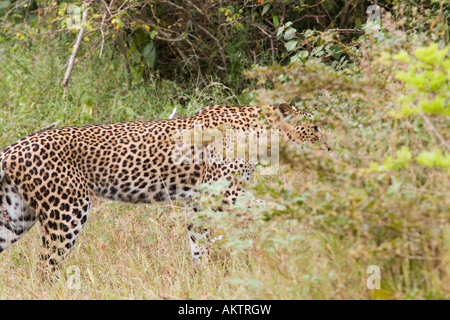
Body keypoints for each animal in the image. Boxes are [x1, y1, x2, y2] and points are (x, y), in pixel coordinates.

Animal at [0, 103, 326, 276]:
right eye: (315, 129)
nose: (330, 147)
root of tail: (12, 149)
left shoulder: (198, 203)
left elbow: (199, 242)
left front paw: (202, 277)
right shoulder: (224, 194)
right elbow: (269, 205)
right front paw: (311, 215)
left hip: (16, 216)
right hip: (67, 212)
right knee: (46, 266)